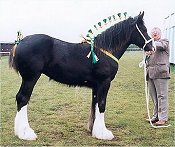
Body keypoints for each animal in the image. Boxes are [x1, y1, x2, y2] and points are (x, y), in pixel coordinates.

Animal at [9, 11, 153, 140]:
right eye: (144, 29)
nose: (152, 47)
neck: (104, 51)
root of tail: (20, 42)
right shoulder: (104, 82)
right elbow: (102, 105)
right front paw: (103, 133)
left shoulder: (97, 86)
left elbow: (95, 104)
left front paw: (94, 130)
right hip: (30, 77)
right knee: (22, 98)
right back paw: (25, 133)